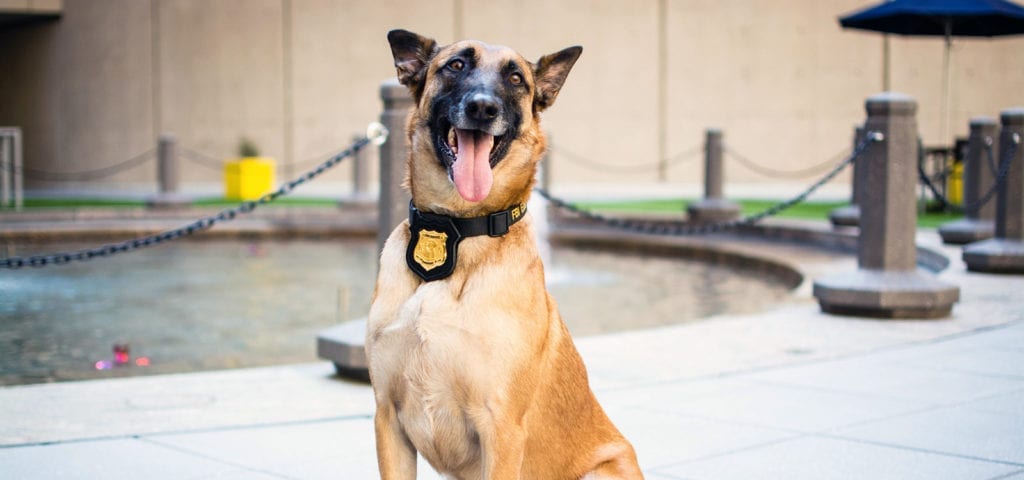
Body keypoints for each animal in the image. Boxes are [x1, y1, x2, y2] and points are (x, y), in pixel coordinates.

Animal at [366, 28, 638, 476]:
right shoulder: (387, 419)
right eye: (456, 65)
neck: (455, 232)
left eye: (515, 79)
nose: (482, 107)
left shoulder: (502, 429)